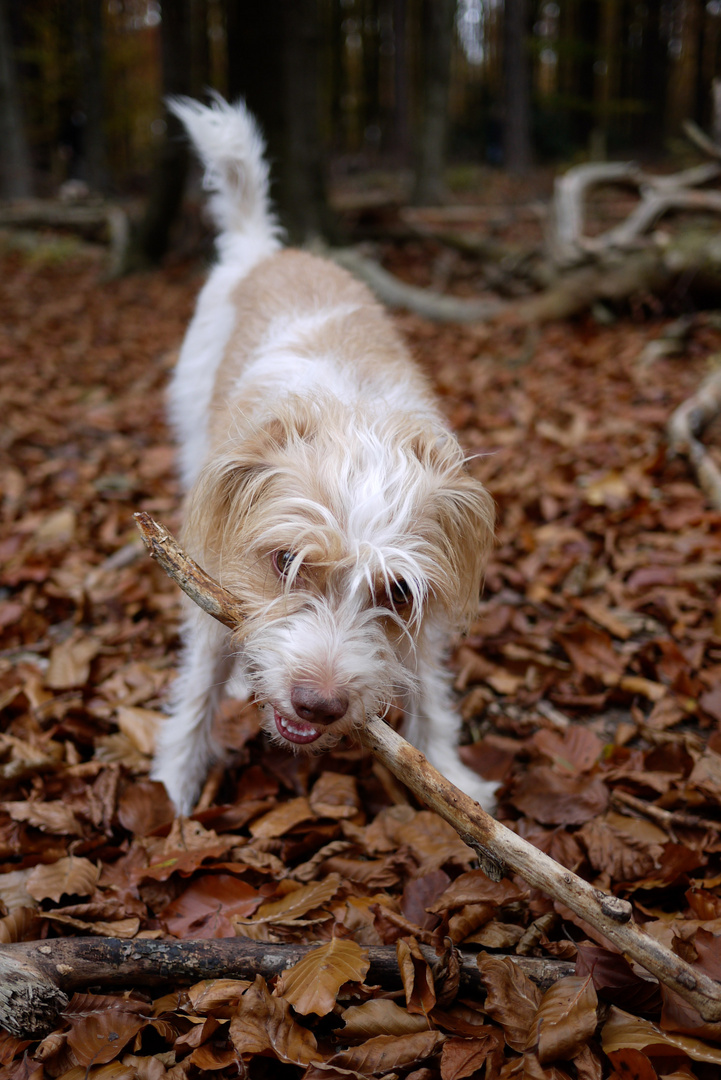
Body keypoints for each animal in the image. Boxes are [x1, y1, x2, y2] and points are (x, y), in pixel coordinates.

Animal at [151, 97, 496, 812]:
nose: (319, 704)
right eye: (284, 562)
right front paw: (171, 786)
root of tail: (265, 249)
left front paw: (453, 773)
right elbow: (197, 683)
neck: (354, 418)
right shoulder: (208, 556)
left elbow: (429, 682)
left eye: (396, 591)